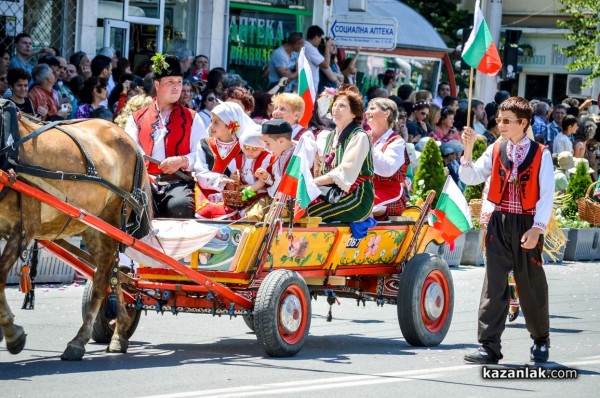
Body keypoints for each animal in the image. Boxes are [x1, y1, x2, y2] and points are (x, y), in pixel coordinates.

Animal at [0, 102, 152, 360]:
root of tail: (129, 140)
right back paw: (119, 333)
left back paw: (79, 341)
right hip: (92, 227)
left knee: (102, 278)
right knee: (111, 272)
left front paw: (12, 333)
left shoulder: (23, 227)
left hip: (112, 218)